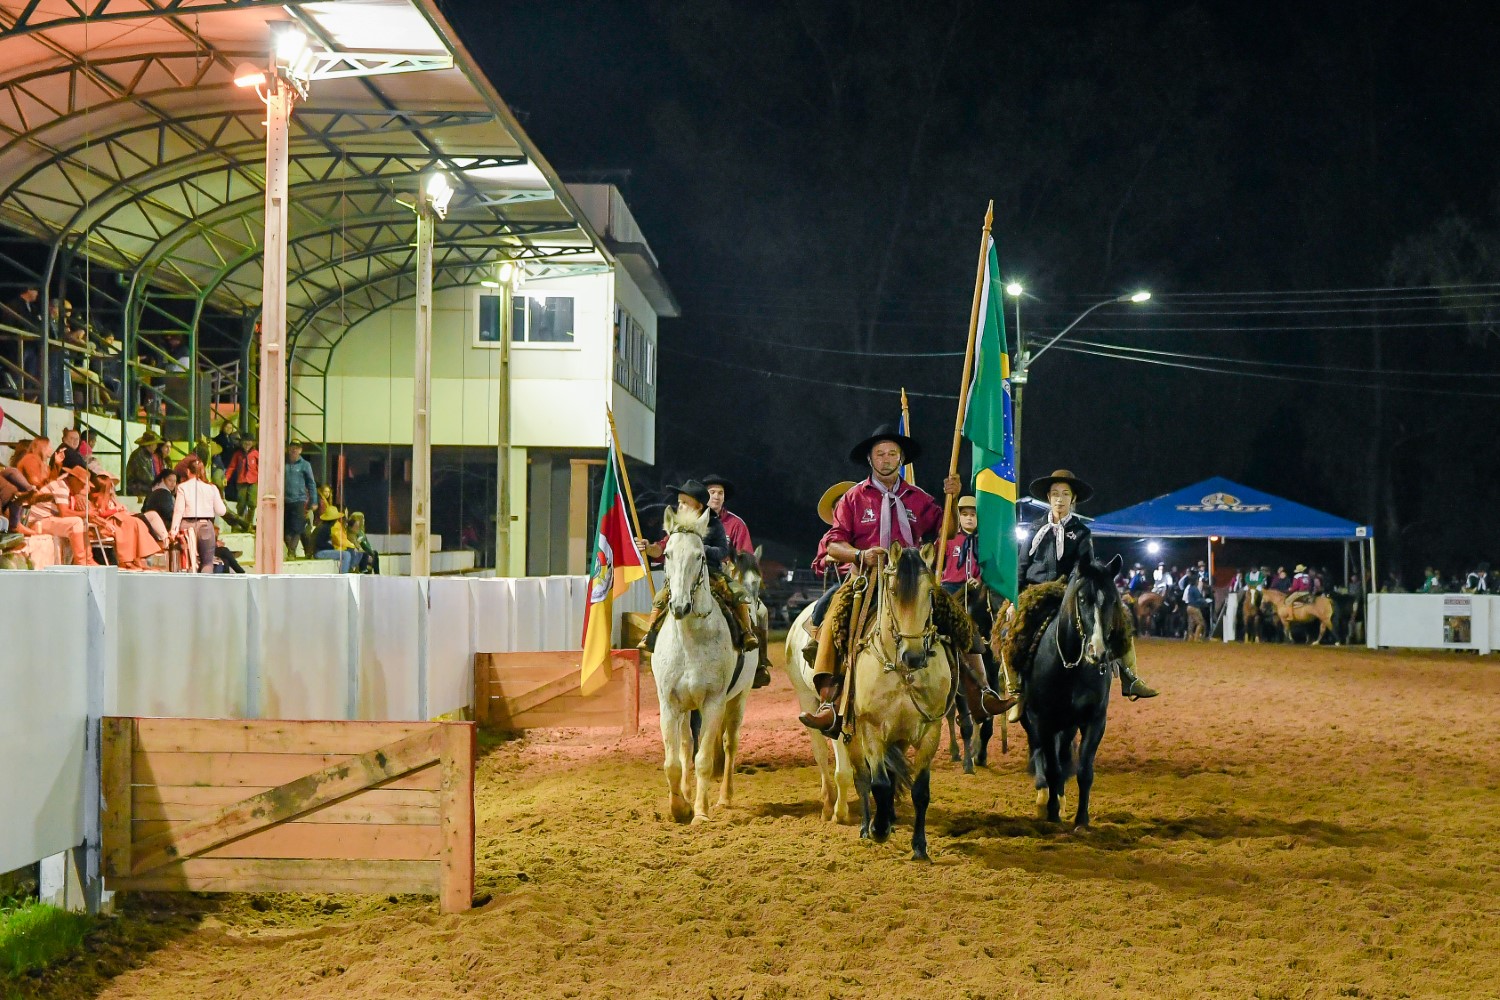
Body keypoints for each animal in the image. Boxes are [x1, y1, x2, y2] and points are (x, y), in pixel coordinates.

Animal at [1020, 554, 1128, 827]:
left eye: (1112, 600)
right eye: (1082, 599)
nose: (1097, 652)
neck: (1070, 667)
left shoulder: (1095, 720)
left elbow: (1084, 771)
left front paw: (1081, 819)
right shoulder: (1044, 721)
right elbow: (1052, 767)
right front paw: (1052, 812)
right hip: (1031, 718)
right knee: (1038, 750)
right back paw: (1044, 795)